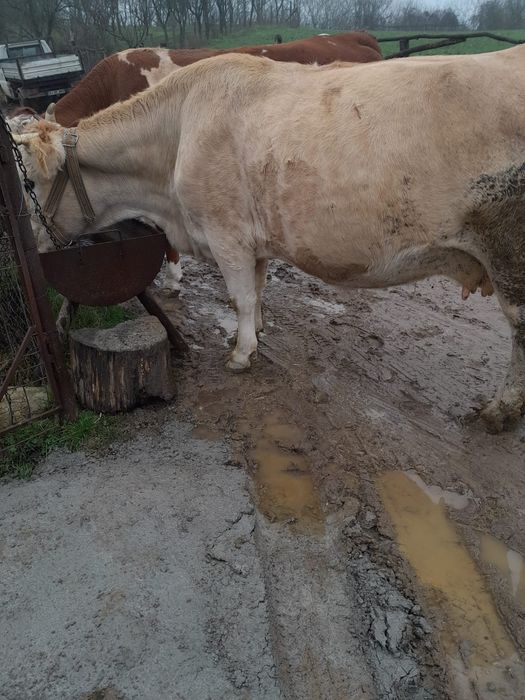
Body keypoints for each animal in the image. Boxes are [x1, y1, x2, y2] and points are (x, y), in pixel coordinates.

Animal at [14, 49, 525, 432]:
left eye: (28, 184)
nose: (30, 248)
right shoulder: (252, 240)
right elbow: (257, 291)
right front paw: (256, 332)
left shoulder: (227, 234)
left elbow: (239, 296)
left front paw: (242, 353)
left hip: (509, 250)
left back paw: (500, 410)